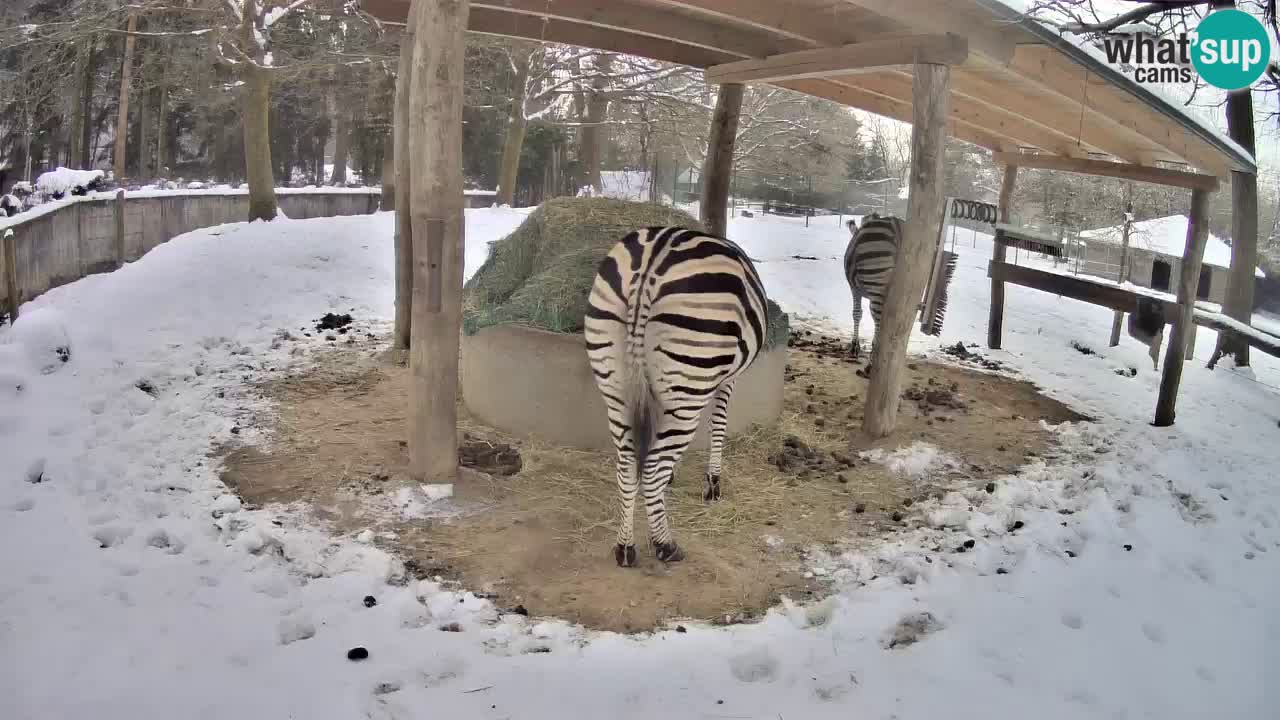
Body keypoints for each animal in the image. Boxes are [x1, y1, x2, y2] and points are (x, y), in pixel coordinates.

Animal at [584, 226, 769, 567]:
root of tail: (650, 262)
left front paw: (674, 479)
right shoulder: (727, 380)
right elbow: (719, 425)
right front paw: (713, 484)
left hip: (617, 388)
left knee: (628, 467)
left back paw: (625, 548)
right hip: (688, 388)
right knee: (651, 470)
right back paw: (665, 545)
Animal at [844, 212, 904, 361]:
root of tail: (893, 222)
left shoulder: (854, 289)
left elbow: (857, 313)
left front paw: (855, 346)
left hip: (877, 283)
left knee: (880, 318)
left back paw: (873, 359)